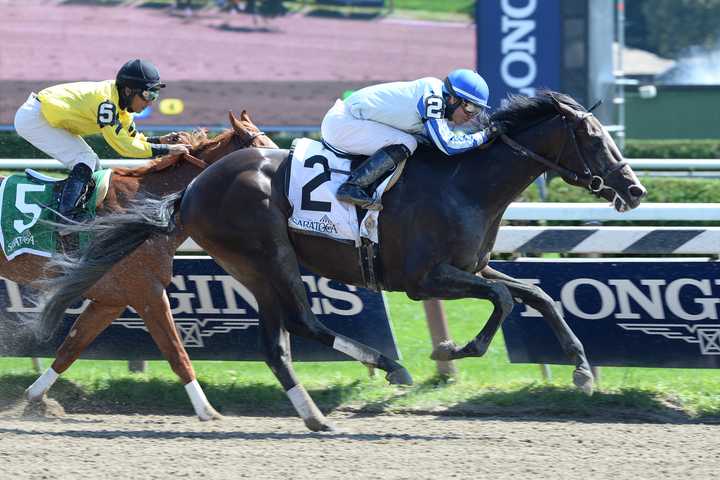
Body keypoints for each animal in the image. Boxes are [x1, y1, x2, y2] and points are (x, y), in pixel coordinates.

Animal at [4, 111, 276, 420]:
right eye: (262, 149)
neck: (147, 209)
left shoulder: (111, 301)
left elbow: (70, 348)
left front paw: (36, 398)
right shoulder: (147, 292)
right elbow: (176, 353)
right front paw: (207, 410)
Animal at [38, 91, 648, 432]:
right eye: (595, 139)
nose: (635, 189)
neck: (465, 183)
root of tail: (192, 189)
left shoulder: (473, 266)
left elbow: (537, 294)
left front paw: (581, 370)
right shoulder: (428, 279)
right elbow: (502, 300)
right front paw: (453, 350)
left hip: (253, 268)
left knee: (277, 343)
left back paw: (315, 413)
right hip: (268, 255)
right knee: (303, 322)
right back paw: (388, 366)